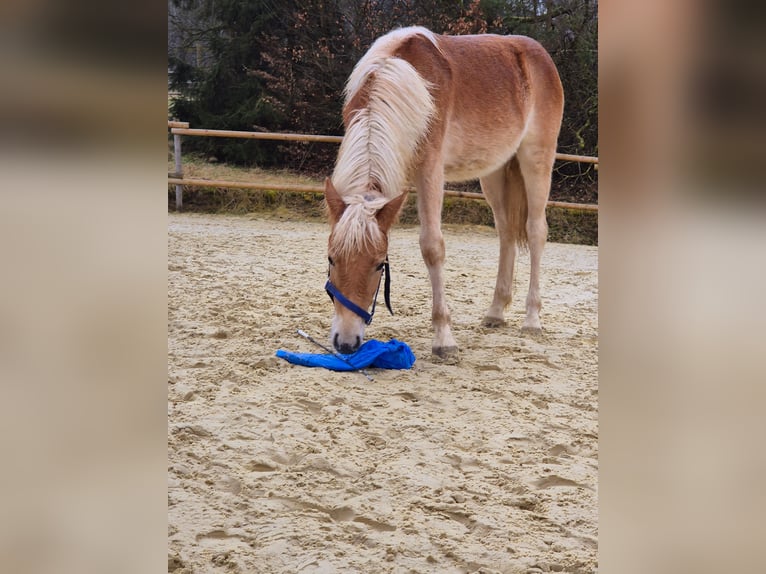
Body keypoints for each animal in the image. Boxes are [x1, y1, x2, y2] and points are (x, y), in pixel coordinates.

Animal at [320, 27, 568, 362]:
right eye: (332, 259)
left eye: (379, 264)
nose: (346, 343)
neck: (398, 78)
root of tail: (538, 56)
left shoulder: (430, 172)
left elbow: (432, 247)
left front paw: (444, 338)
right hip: (494, 172)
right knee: (505, 233)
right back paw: (495, 312)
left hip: (536, 159)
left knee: (536, 231)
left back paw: (532, 319)